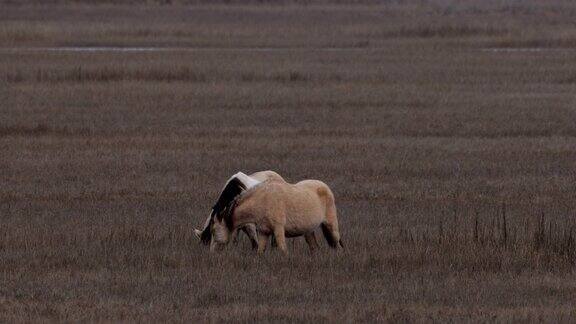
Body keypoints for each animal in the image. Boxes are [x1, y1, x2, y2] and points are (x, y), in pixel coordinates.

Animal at [208, 175, 342, 253]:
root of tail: (325, 186)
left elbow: (283, 250)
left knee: (338, 245)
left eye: (213, 230)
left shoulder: (278, 229)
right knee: (314, 247)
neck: (263, 200)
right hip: (309, 232)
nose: (212, 252)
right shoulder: (263, 232)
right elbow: (260, 251)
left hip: (331, 227)